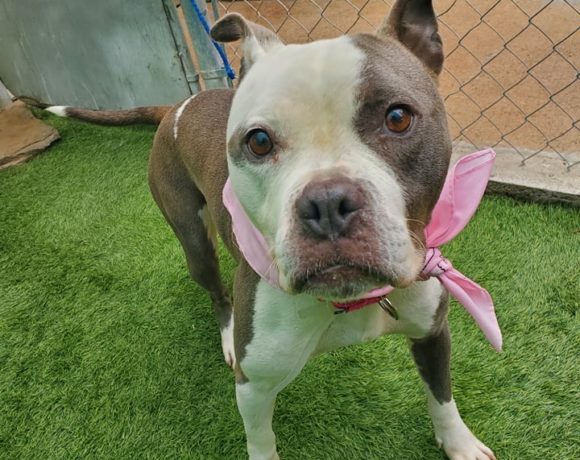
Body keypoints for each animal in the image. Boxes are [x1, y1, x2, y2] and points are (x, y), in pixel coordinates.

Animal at [36, 1, 498, 458]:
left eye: (398, 117)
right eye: (258, 141)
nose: (326, 203)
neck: (350, 302)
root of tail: (178, 105)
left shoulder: (432, 333)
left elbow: (442, 397)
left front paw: (460, 443)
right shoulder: (254, 384)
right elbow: (260, 438)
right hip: (193, 240)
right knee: (215, 289)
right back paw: (226, 333)